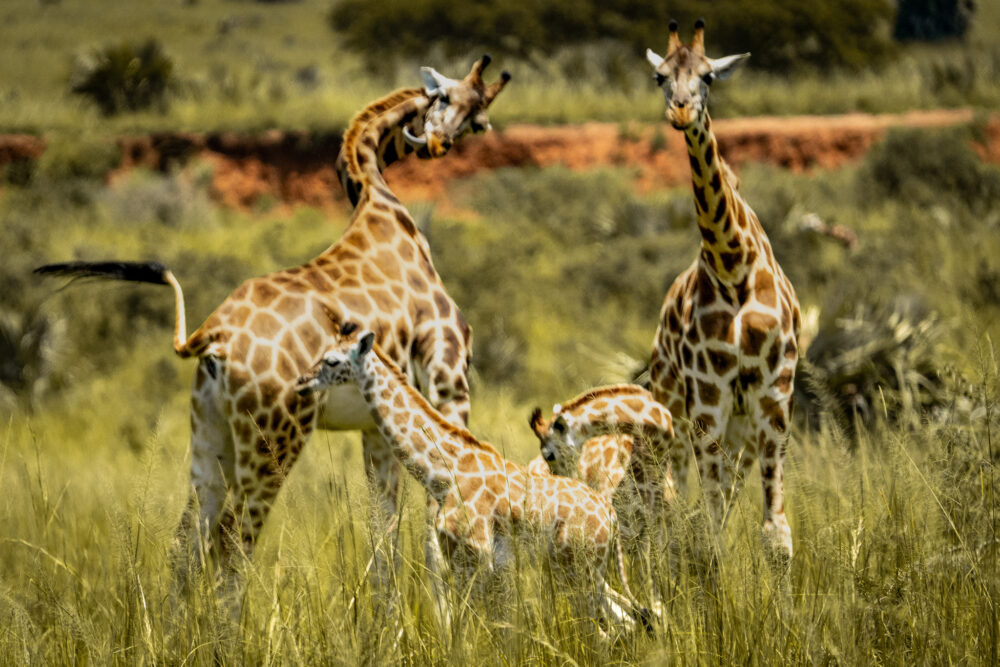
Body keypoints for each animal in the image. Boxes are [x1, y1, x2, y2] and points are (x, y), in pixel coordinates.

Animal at [35, 58, 512, 600]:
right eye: (464, 102)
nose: (441, 143)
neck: (381, 202)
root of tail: (211, 337)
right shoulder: (449, 379)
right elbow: (437, 526)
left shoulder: (376, 427)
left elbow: (384, 537)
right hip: (274, 443)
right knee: (230, 548)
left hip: (211, 437)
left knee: (186, 543)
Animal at [296, 328, 652, 636]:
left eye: (331, 360)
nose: (301, 382)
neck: (443, 473)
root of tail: (610, 516)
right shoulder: (465, 560)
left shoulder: (475, 557)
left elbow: (474, 632)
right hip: (585, 572)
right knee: (630, 621)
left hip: (578, 572)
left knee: (607, 633)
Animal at [644, 19, 800, 564]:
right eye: (660, 77)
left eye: (708, 76)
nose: (680, 110)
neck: (732, 264)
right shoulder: (707, 390)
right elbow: (711, 528)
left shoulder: (775, 389)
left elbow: (775, 533)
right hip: (673, 401)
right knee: (670, 493)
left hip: (740, 421)